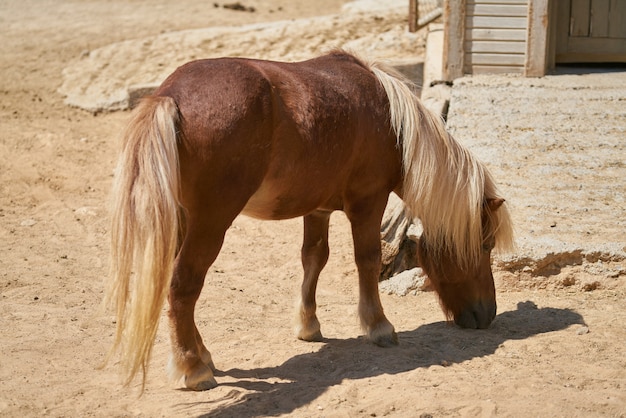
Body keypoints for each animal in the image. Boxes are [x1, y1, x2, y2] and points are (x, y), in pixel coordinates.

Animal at [106, 50, 512, 390]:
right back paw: (192, 368)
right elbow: (367, 260)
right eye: (485, 244)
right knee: (183, 286)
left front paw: (308, 326)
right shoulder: (369, 201)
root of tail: (170, 96)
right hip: (210, 223)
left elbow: (314, 259)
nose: (487, 314)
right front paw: (379, 326)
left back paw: (201, 354)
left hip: (183, 220)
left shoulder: (317, 209)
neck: (392, 122)